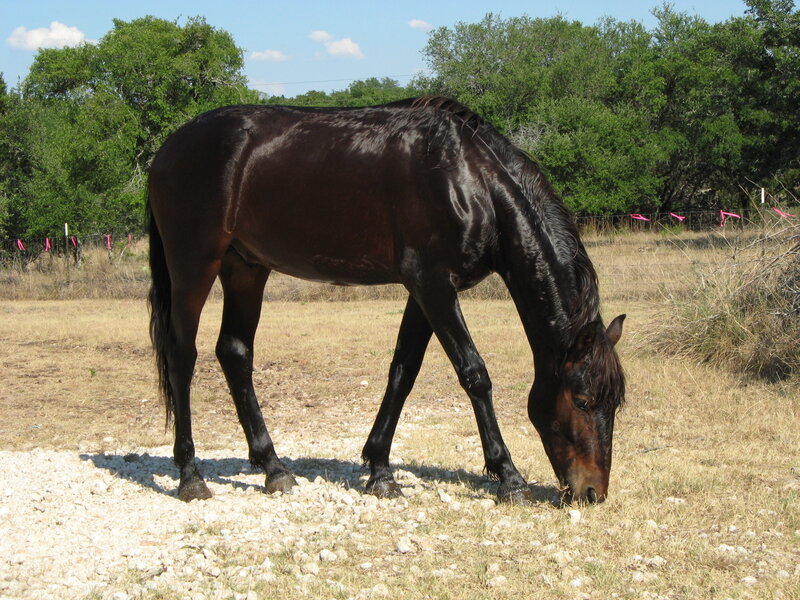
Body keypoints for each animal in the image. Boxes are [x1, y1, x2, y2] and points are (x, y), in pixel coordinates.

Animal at [147, 96, 625, 505]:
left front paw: (379, 469)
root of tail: (168, 148)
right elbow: (474, 374)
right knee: (182, 356)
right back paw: (191, 476)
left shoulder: (426, 291)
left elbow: (403, 372)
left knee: (234, 352)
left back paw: (274, 468)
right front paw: (508, 476)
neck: (468, 178)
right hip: (194, 265)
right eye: (583, 401)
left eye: (615, 403)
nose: (592, 492)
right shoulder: (433, 285)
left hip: (245, 268)